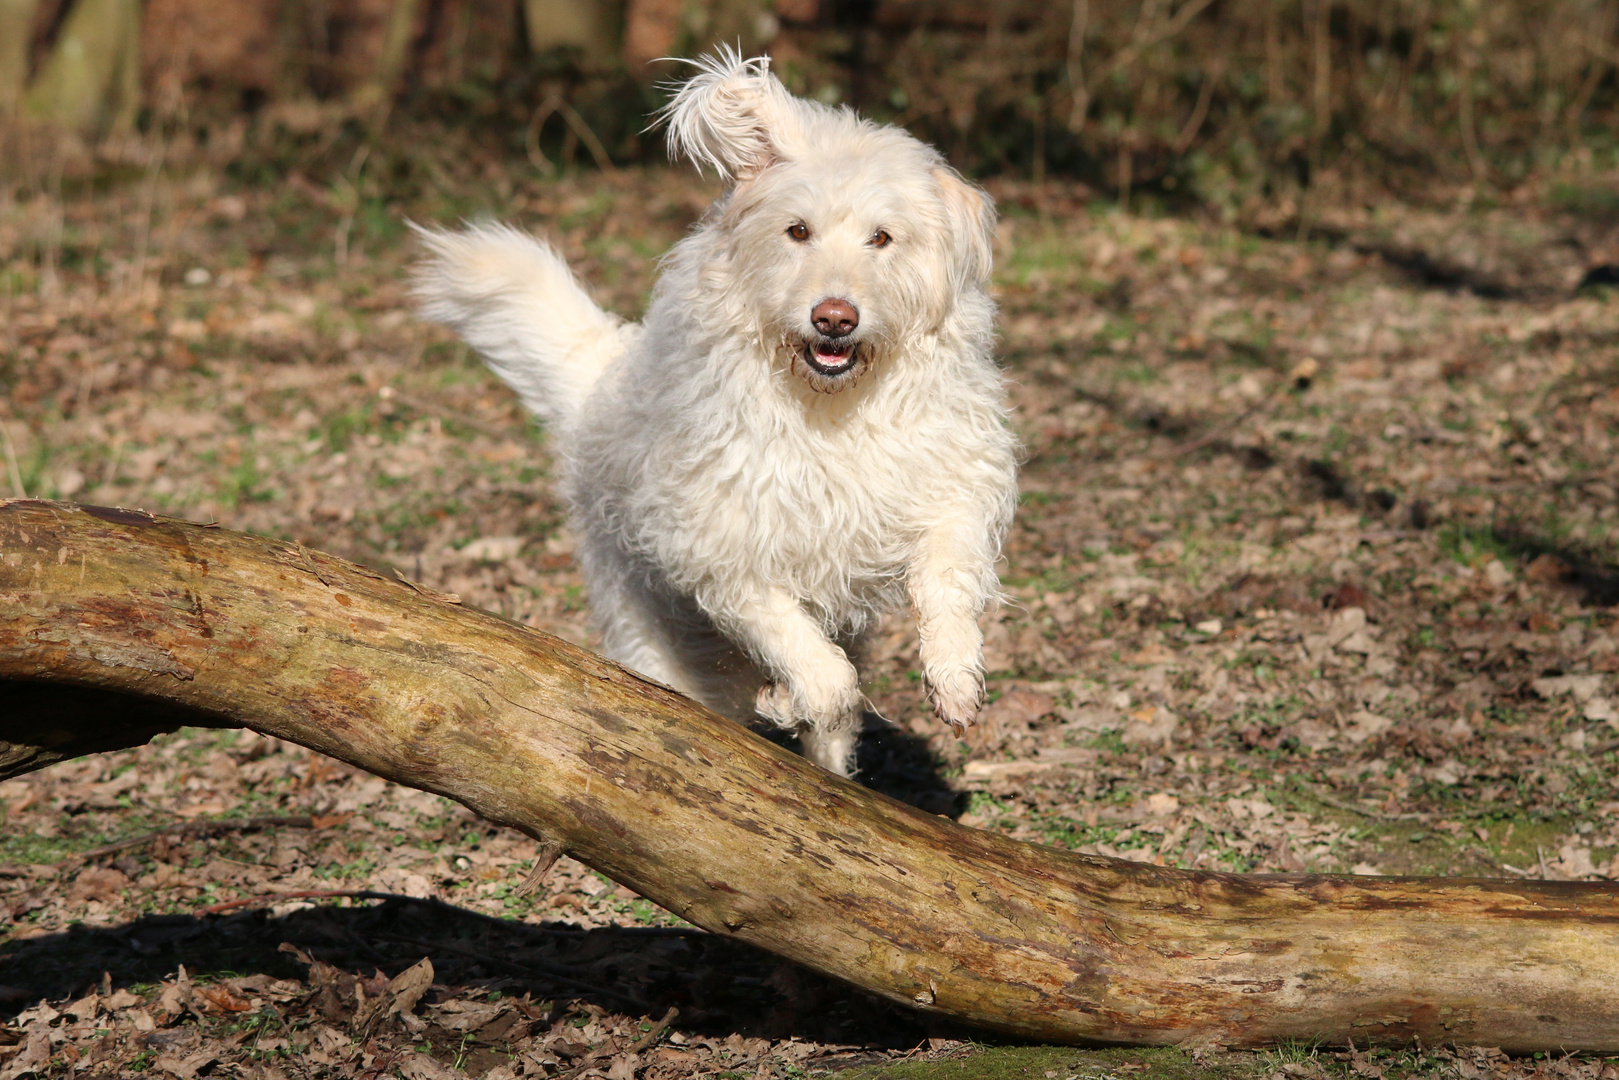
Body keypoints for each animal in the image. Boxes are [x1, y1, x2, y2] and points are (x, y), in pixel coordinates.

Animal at [414, 52, 1010, 777]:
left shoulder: (945, 485)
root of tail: (598, 381)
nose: (834, 318)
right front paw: (797, 694)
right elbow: (816, 667)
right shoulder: (723, 548)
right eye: (798, 230)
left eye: (882, 238)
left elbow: (946, 577)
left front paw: (953, 676)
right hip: (648, 629)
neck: (827, 407)